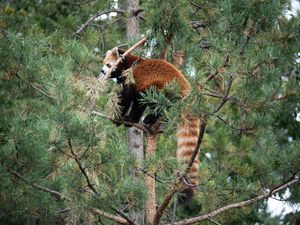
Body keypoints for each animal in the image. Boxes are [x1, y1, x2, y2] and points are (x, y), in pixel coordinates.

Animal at [99, 47, 200, 200]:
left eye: (109, 65)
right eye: (104, 63)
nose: (103, 71)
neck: (129, 62)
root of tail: (187, 89)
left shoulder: (132, 77)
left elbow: (130, 99)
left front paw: (124, 119)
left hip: (163, 87)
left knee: (156, 99)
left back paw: (150, 118)